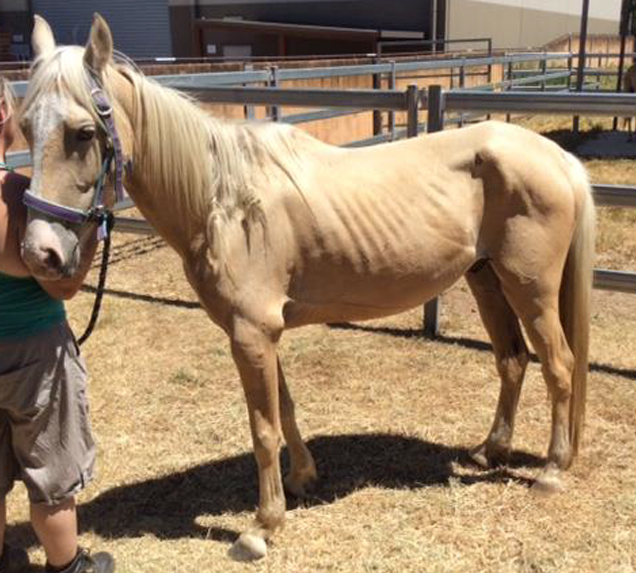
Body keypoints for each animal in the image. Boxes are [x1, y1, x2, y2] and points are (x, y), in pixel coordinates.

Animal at [19, 14, 592, 564]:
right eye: (24, 126)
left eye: (83, 133)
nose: (39, 252)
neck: (224, 200)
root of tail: (556, 157)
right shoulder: (261, 333)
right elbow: (285, 411)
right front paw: (301, 480)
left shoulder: (250, 333)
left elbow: (263, 430)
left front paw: (261, 528)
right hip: (486, 278)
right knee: (512, 360)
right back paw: (489, 451)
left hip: (531, 290)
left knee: (559, 366)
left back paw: (551, 471)